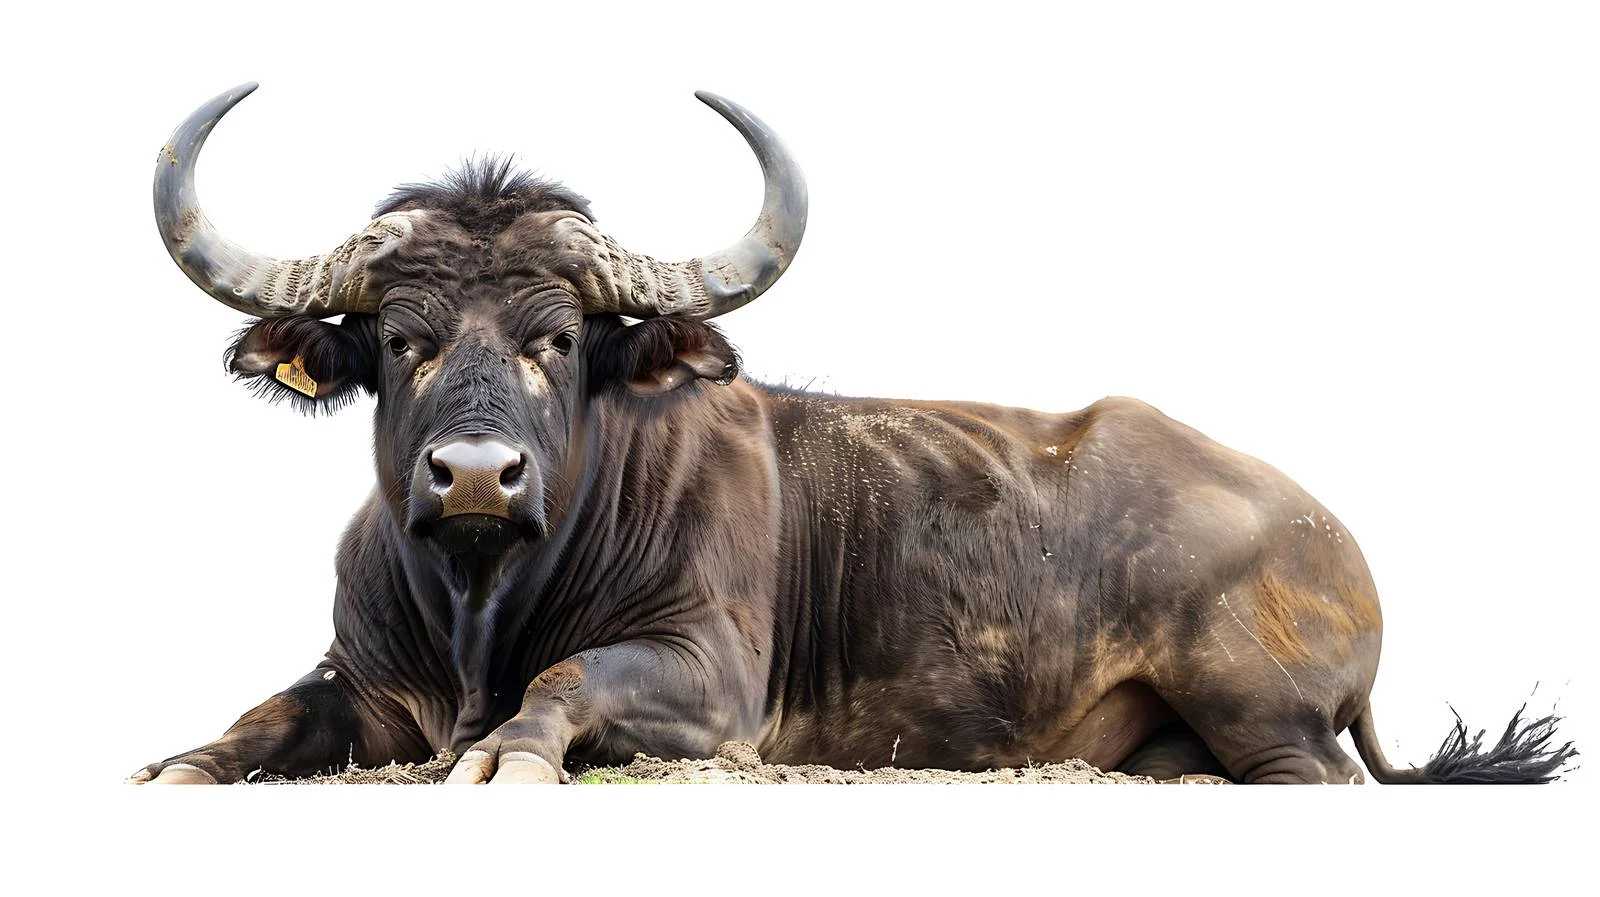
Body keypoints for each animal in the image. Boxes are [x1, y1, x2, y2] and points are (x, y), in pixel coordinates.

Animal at [132, 83, 1574, 785]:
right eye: (400, 338)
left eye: (559, 337)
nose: (477, 474)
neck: (482, 598)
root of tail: (1331, 538)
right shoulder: (359, 682)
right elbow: (257, 723)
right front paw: (179, 763)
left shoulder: (711, 689)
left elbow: (566, 685)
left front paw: (507, 759)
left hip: (1264, 714)